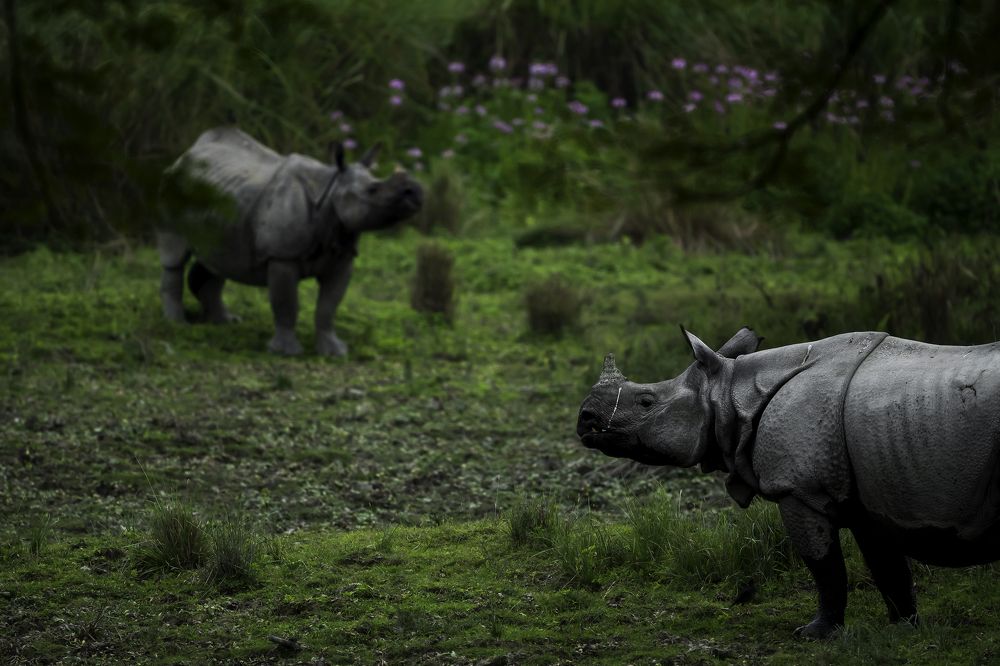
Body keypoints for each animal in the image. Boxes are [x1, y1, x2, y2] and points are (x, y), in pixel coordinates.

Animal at [157, 127, 423, 355]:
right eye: (373, 190)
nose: (416, 191)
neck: (330, 191)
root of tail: (188, 152)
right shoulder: (281, 256)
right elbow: (287, 303)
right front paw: (286, 352)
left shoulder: (342, 258)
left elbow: (328, 307)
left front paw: (334, 351)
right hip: (173, 189)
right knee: (175, 256)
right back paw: (177, 324)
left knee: (219, 259)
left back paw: (226, 322)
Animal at [577, 327, 1000, 638]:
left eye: (646, 401)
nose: (585, 418)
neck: (731, 394)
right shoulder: (866, 494)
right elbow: (887, 566)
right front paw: (903, 629)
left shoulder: (799, 489)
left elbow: (824, 566)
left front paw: (816, 634)